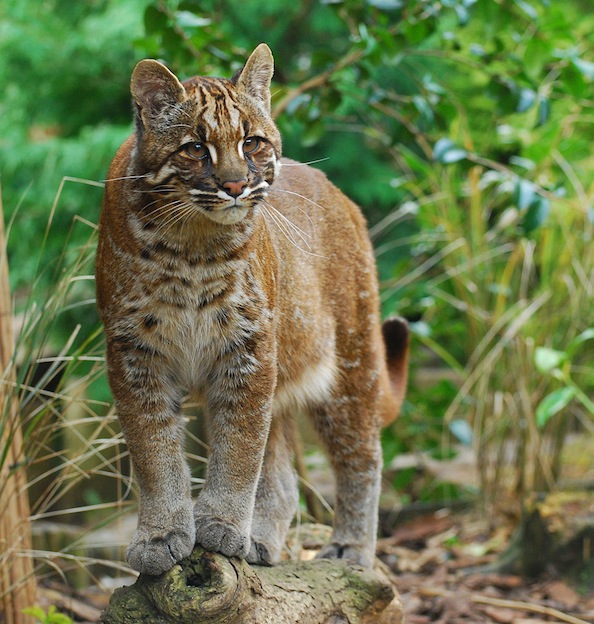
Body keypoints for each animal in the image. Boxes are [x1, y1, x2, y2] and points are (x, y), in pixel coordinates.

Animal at [95, 42, 408, 576]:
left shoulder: (248, 349)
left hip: (351, 365)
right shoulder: (135, 354)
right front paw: (162, 536)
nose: (236, 186)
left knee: (362, 456)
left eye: (252, 143)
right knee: (284, 478)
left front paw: (220, 526)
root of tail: (339, 193)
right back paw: (262, 542)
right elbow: (154, 450)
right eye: (195, 147)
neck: (191, 245)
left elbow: (240, 450)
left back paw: (351, 551)